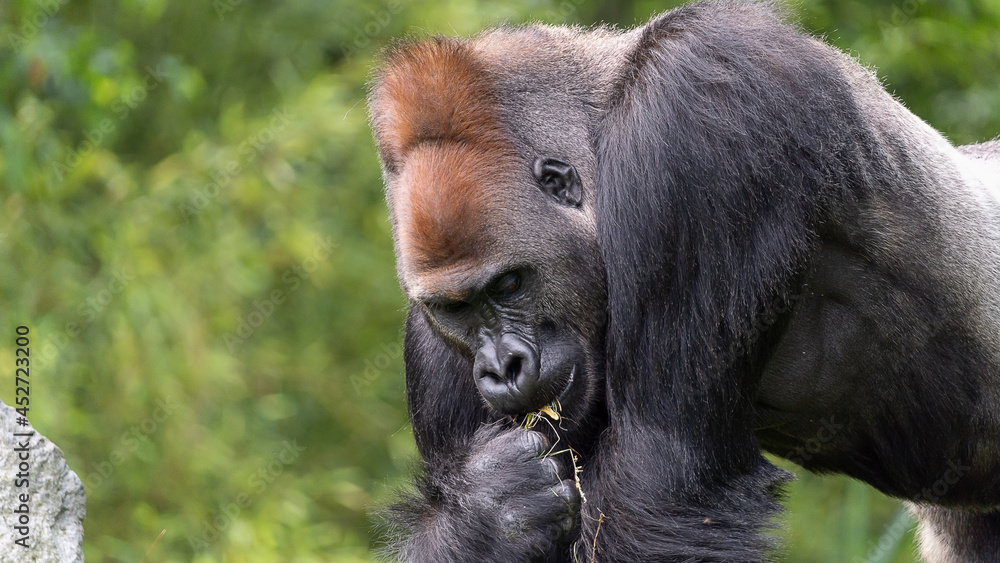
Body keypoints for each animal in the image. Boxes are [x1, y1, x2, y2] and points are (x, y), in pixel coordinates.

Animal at [368, 1, 1000, 561]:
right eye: (456, 308)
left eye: (509, 286)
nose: (501, 368)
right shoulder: (431, 334)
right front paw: (489, 513)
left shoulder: (698, 102)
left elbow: (660, 480)